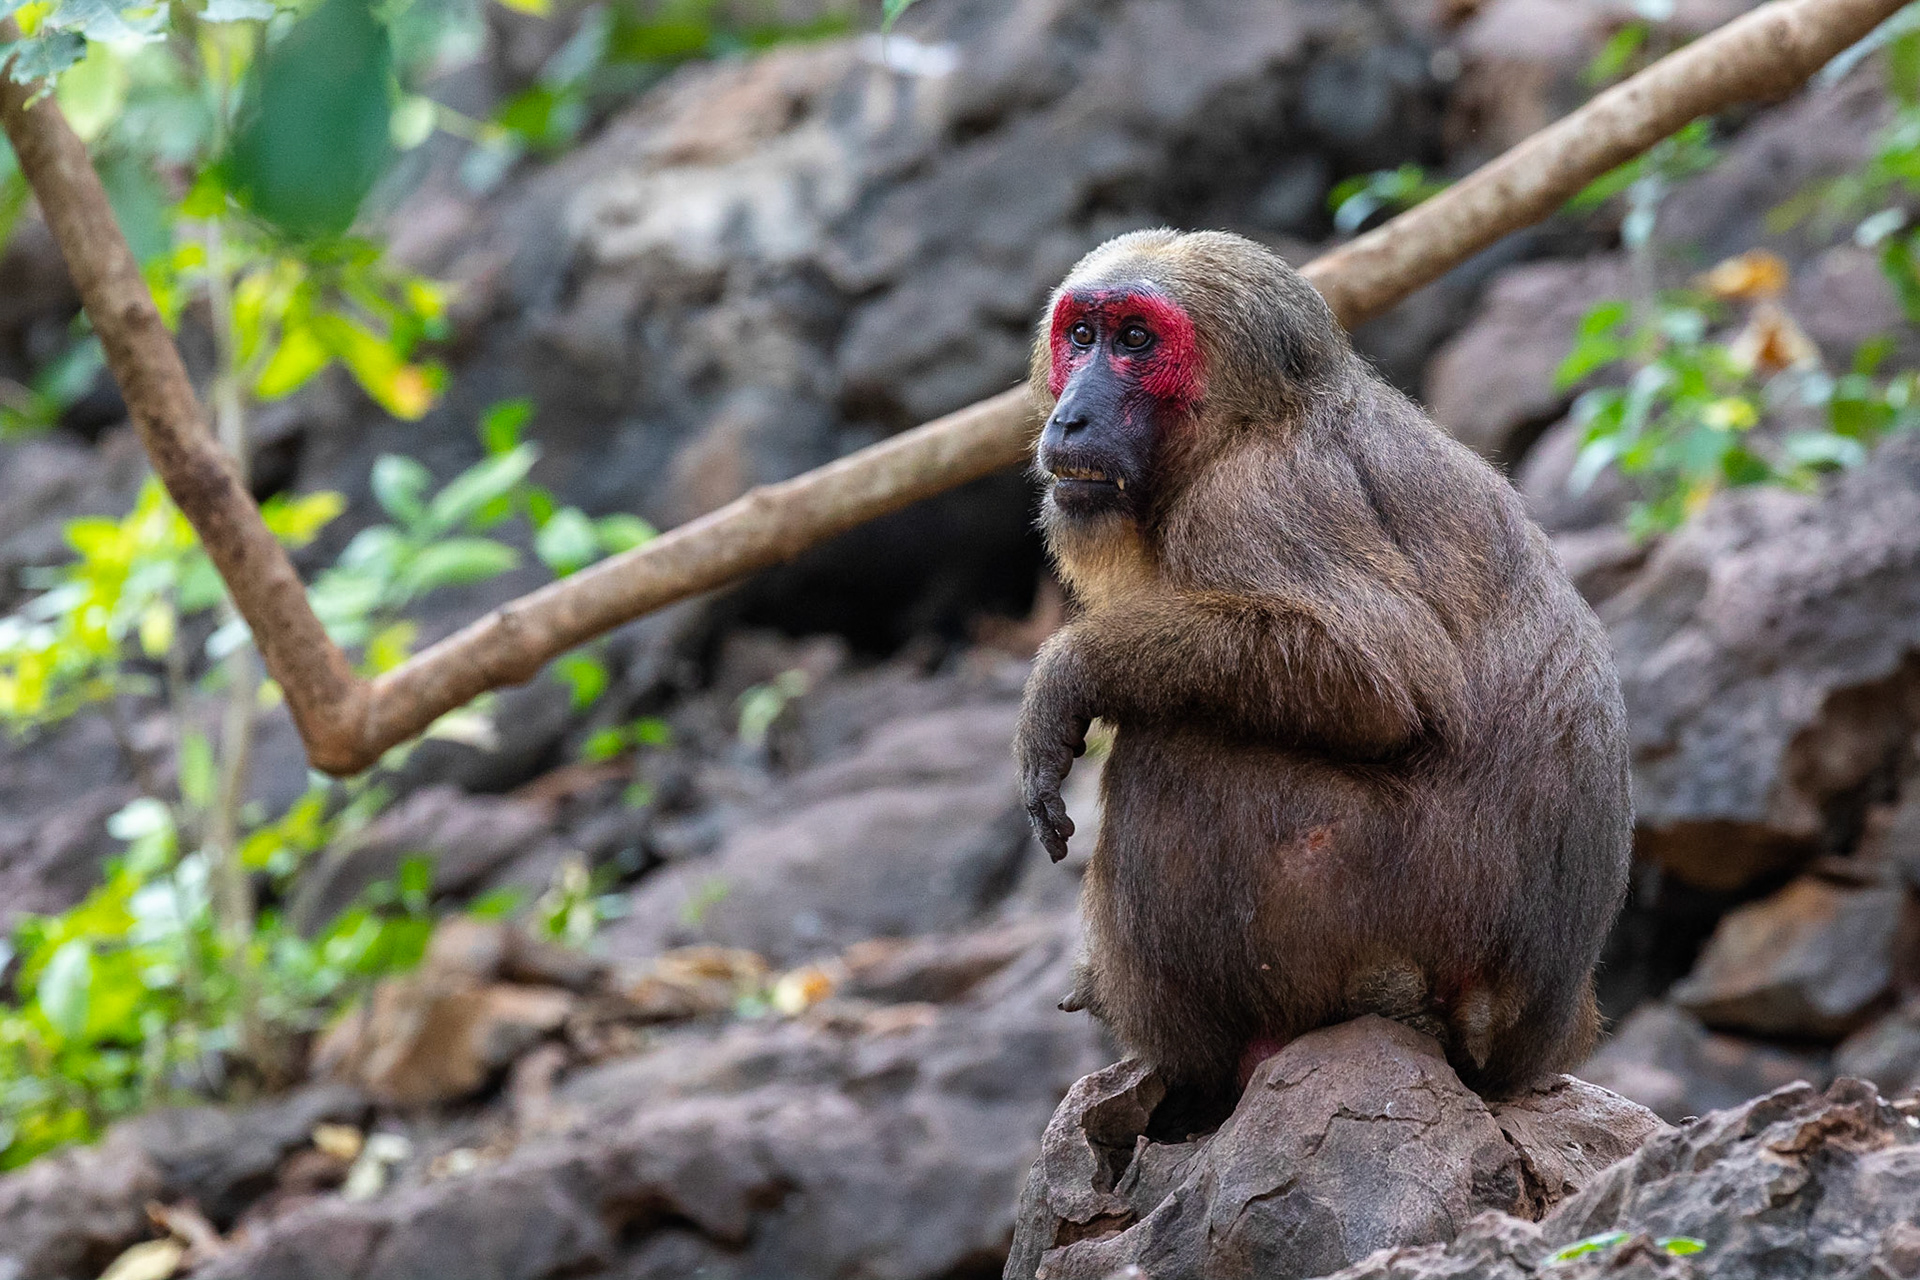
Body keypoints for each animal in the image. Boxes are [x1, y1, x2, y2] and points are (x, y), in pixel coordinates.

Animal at [1014, 229, 1632, 1106]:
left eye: (1135, 340)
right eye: (1081, 336)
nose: (1072, 414)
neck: (1242, 425)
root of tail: (1520, 1024)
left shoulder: (1255, 499)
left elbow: (1379, 680)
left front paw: (1069, 674)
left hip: (1387, 905)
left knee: (1172, 749)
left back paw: (1194, 1070)